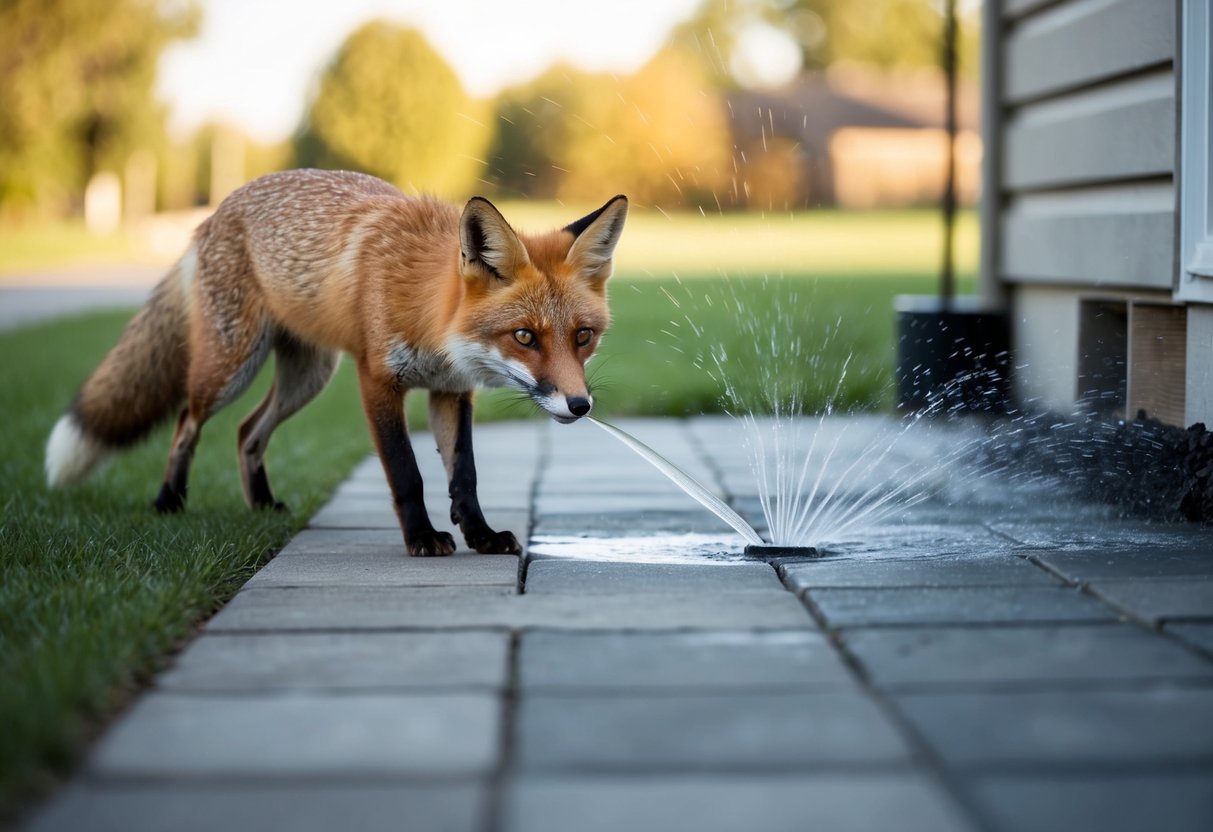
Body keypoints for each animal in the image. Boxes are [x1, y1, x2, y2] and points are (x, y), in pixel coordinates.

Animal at [45, 168, 628, 557]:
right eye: (525, 336)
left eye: (582, 337)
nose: (580, 405)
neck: (428, 315)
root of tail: (218, 208)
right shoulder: (377, 381)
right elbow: (406, 473)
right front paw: (422, 538)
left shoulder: (450, 390)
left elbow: (464, 474)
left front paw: (480, 535)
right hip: (230, 368)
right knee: (186, 424)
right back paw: (169, 501)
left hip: (307, 378)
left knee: (246, 431)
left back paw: (262, 505)